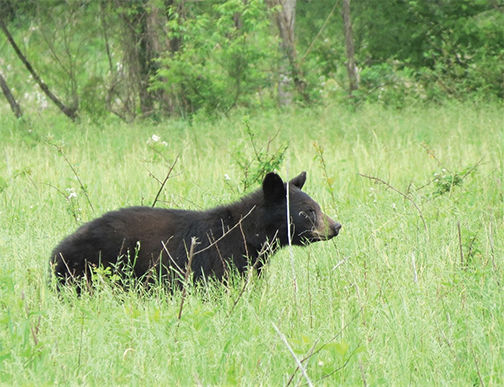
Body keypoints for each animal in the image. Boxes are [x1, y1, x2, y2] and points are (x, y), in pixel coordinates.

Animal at [51, 172, 340, 288]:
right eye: (307, 211)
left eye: (317, 206)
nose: (336, 226)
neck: (248, 234)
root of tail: (56, 251)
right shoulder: (219, 260)